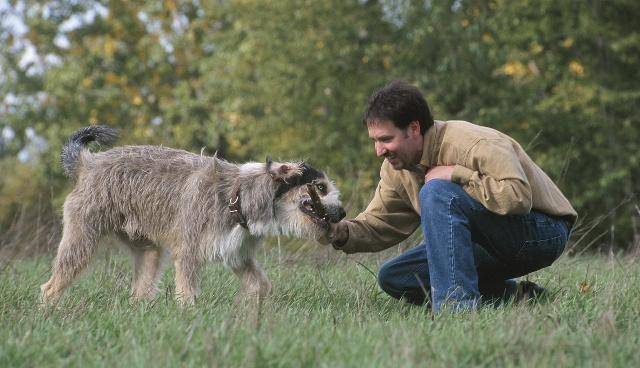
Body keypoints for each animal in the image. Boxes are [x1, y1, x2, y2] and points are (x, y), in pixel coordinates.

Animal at [40, 126, 344, 304]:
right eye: (321, 187)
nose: (342, 212)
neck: (237, 196)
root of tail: (88, 163)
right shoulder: (188, 253)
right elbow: (187, 294)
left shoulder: (238, 255)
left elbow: (261, 286)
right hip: (82, 241)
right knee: (51, 286)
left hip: (148, 252)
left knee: (141, 289)